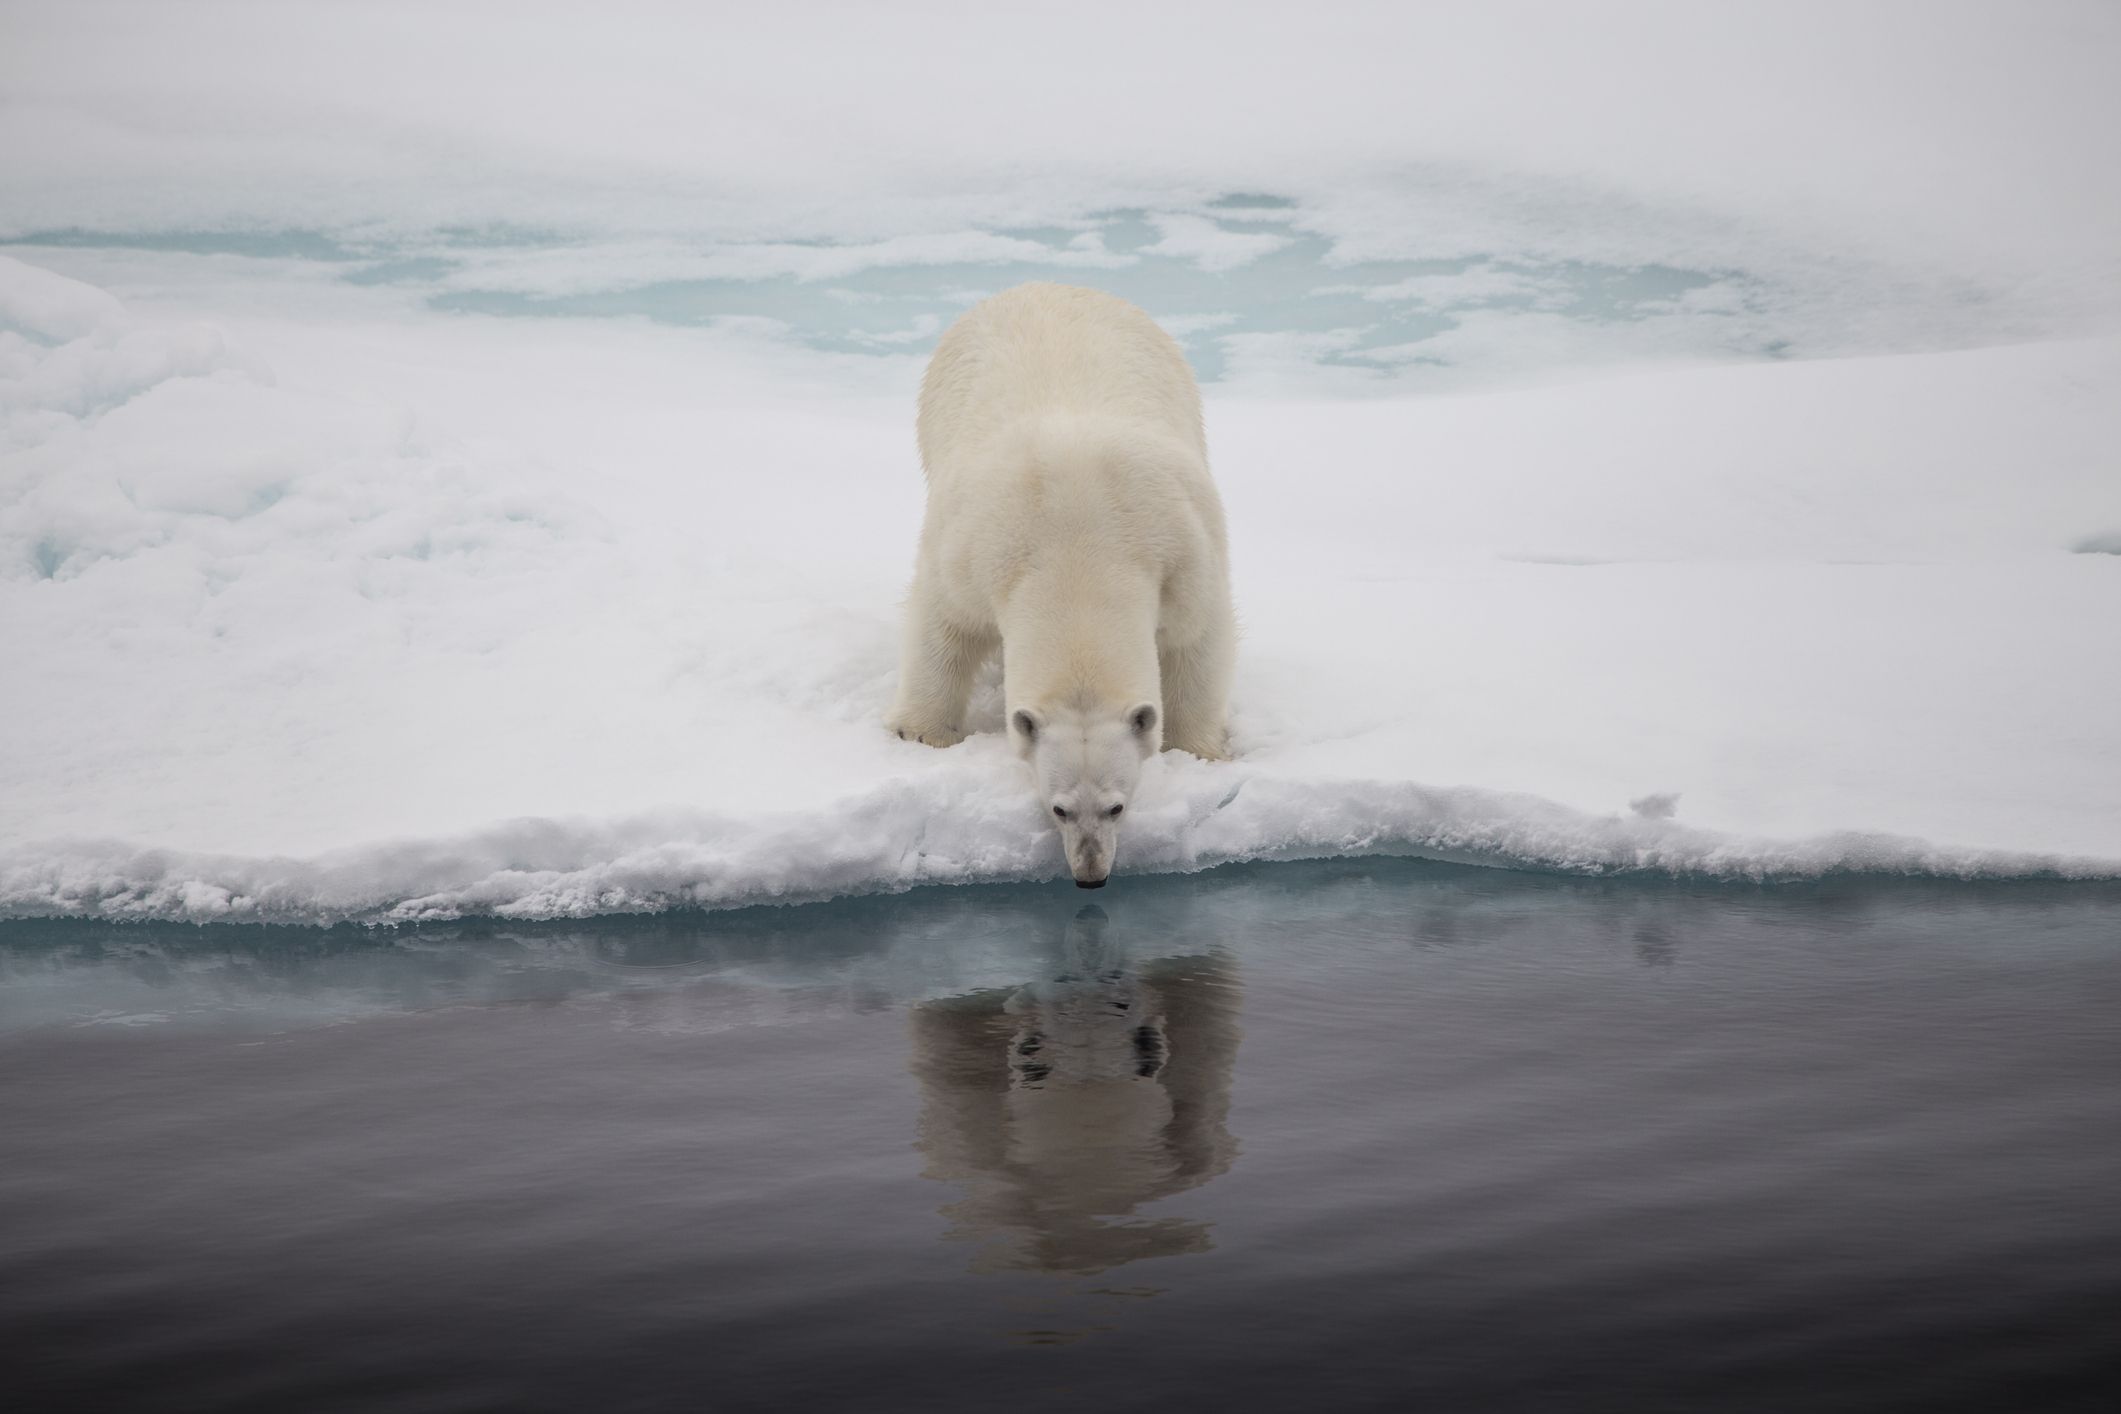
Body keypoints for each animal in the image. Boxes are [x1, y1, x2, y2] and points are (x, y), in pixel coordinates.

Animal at [886, 282, 1236, 887]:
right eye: (1059, 808)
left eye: (1118, 805)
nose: (1089, 873)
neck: (1080, 549)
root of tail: (1047, 284)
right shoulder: (976, 547)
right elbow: (946, 622)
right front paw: (923, 735)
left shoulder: (1179, 550)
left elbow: (1195, 637)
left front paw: (1199, 752)